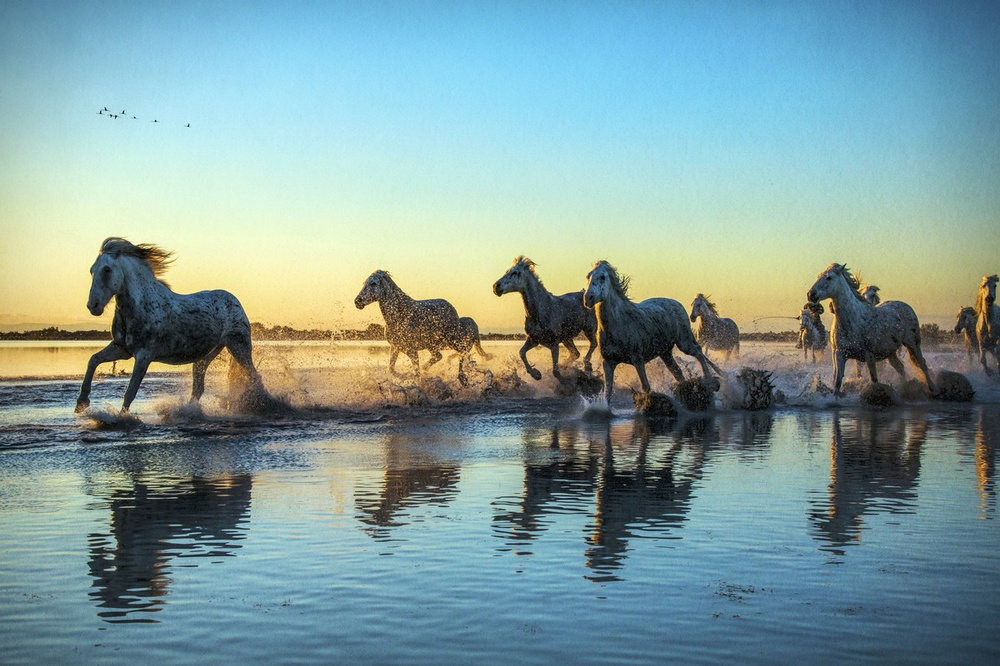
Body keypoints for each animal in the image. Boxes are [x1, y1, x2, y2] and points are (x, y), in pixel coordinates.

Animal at [76, 237, 263, 414]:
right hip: (207, 355)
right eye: (92, 270)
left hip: (239, 346)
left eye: (107, 270)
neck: (141, 306)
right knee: (198, 388)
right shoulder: (122, 349)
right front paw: (81, 403)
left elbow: (131, 391)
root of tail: (234, 301)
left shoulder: (144, 355)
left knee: (255, 376)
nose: (93, 306)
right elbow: (94, 360)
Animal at [354, 270, 489, 386]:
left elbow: (416, 374)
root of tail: (454, 313)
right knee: (440, 356)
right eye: (364, 283)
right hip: (434, 345)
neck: (399, 315)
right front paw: (405, 376)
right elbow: (391, 369)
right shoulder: (395, 347)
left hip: (452, 341)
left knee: (463, 352)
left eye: (373, 283)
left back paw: (463, 378)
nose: (357, 302)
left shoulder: (411, 350)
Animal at [583, 260, 720, 405]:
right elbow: (608, 392)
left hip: (684, 341)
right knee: (678, 372)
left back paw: (710, 382)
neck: (618, 324)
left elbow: (646, 387)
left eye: (602, 277)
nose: (588, 298)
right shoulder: (608, 362)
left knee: (698, 352)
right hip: (665, 352)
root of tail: (677, 304)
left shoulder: (638, 359)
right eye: (588, 276)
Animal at [807, 263, 935, 397]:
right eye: (818, 276)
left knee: (922, 364)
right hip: (890, 352)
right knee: (900, 367)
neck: (853, 321)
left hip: (913, 344)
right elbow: (837, 382)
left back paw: (932, 389)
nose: (811, 294)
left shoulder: (870, 356)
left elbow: (874, 380)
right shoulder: (839, 355)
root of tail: (906, 306)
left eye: (829, 277)